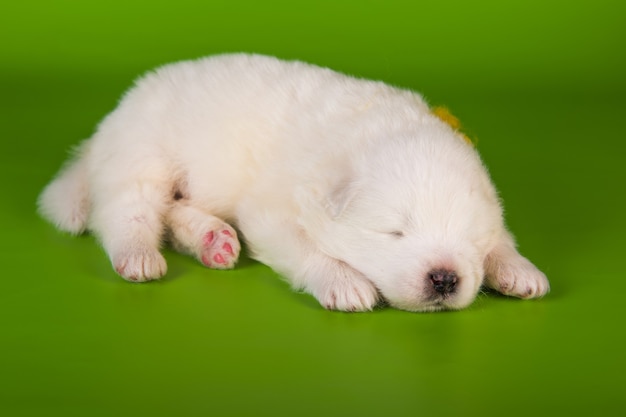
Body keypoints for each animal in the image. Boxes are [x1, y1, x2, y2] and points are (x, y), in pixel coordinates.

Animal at [37, 53, 544, 310]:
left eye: (468, 238)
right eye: (395, 233)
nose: (444, 279)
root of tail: (111, 121)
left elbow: (502, 237)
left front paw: (519, 269)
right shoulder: (272, 213)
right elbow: (309, 251)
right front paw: (346, 283)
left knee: (174, 210)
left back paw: (212, 240)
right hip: (144, 154)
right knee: (127, 212)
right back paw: (140, 255)